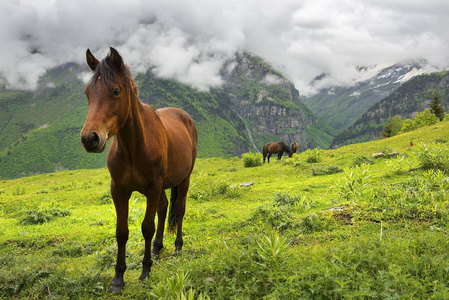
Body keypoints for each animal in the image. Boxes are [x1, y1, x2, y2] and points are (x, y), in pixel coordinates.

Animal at [79, 47, 198, 292]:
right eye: (88, 92)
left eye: (116, 91)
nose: (89, 138)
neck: (134, 146)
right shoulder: (119, 190)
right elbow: (121, 232)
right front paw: (118, 278)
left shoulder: (152, 188)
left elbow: (146, 227)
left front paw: (145, 272)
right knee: (164, 208)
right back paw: (156, 249)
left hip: (184, 180)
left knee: (179, 209)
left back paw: (177, 246)